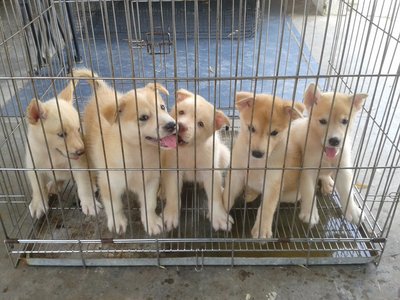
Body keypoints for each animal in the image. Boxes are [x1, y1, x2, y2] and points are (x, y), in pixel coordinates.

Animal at [25, 76, 100, 219]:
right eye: (61, 134)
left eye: (78, 129)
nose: (82, 151)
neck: (53, 154)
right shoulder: (33, 166)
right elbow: (37, 187)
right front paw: (38, 203)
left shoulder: (80, 167)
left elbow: (84, 187)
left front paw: (89, 202)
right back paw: (53, 185)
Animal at [81, 69, 177, 236]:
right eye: (143, 117)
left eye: (162, 107)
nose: (172, 125)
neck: (138, 153)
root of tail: (102, 90)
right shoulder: (110, 183)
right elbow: (115, 206)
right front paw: (117, 222)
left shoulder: (150, 181)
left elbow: (149, 204)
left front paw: (151, 222)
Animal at [161, 89, 233, 232]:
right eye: (181, 112)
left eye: (200, 124)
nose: (181, 126)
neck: (189, 149)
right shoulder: (173, 169)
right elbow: (173, 192)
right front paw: (170, 214)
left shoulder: (210, 169)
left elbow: (215, 195)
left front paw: (219, 216)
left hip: (224, 154)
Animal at [223, 90, 304, 238]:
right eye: (251, 128)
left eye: (274, 133)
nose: (257, 153)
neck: (256, 163)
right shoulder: (236, 173)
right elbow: (227, 195)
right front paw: (220, 211)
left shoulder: (272, 182)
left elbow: (266, 207)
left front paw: (261, 229)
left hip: (293, 194)